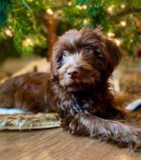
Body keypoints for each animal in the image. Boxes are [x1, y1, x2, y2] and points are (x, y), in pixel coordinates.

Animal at [0, 26, 141, 151]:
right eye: (64, 54)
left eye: (88, 50)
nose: (72, 72)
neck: (88, 90)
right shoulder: (76, 116)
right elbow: (106, 124)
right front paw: (135, 135)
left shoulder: (106, 104)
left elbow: (126, 113)